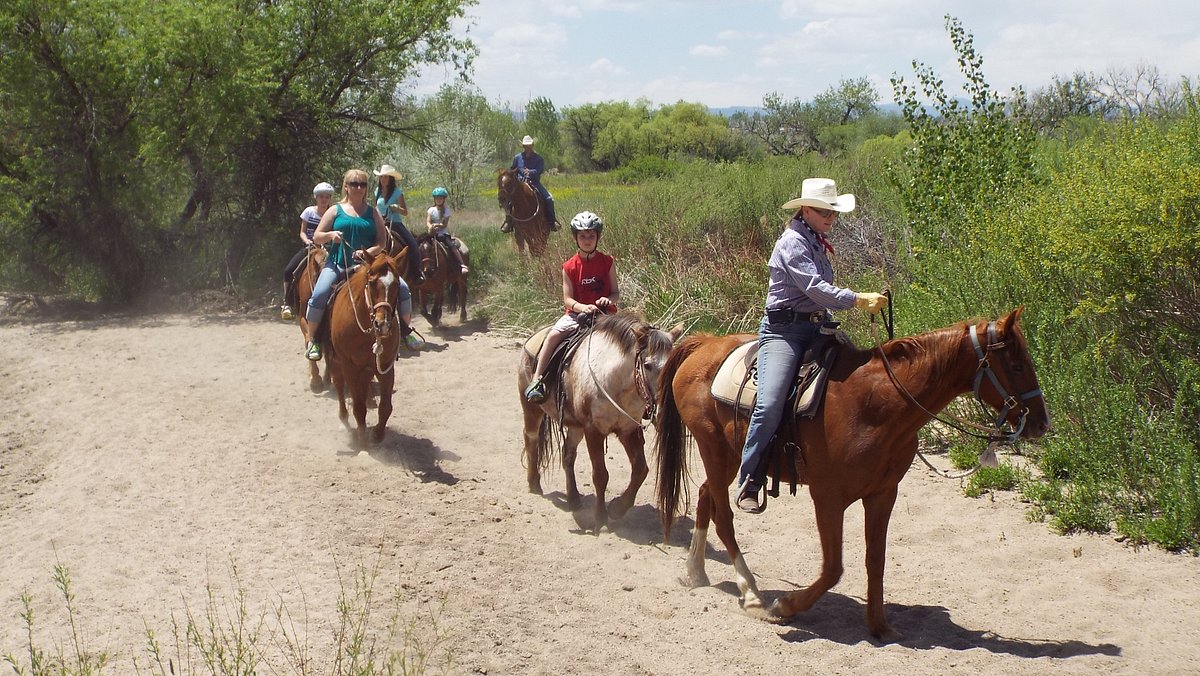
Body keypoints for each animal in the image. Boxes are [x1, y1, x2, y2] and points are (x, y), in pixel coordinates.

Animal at [328, 250, 408, 446]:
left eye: (397, 284)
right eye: (371, 283)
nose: (382, 324)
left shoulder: (384, 366)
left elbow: (386, 406)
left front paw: (377, 435)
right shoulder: (349, 365)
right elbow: (358, 406)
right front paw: (362, 439)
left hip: (366, 369)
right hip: (336, 362)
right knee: (339, 385)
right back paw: (343, 418)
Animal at [518, 314, 686, 535]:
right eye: (648, 365)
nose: (663, 409)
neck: (616, 382)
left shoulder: (628, 429)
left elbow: (641, 469)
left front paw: (617, 508)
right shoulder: (594, 431)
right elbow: (600, 475)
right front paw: (600, 518)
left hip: (575, 426)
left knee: (568, 455)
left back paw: (573, 499)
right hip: (532, 410)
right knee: (531, 439)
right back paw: (534, 485)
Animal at [657, 309, 1051, 643]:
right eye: (1017, 365)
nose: (1040, 423)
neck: (875, 405)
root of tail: (703, 344)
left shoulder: (883, 493)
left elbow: (875, 560)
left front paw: (880, 626)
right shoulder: (828, 497)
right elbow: (833, 567)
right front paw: (786, 606)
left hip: (726, 458)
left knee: (706, 496)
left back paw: (695, 573)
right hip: (714, 450)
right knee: (724, 517)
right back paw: (752, 594)